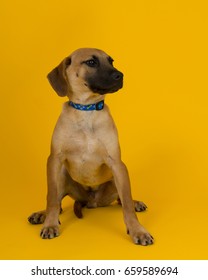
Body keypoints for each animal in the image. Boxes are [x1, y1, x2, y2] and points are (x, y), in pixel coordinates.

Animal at [28, 48, 154, 245]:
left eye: (111, 61)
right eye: (91, 62)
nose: (120, 75)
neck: (86, 111)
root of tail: (92, 202)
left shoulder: (117, 164)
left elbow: (126, 203)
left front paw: (137, 230)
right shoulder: (54, 160)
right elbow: (52, 198)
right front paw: (50, 224)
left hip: (116, 180)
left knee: (122, 200)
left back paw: (136, 203)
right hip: (62, 175)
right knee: (58, 203)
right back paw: (43, 214)